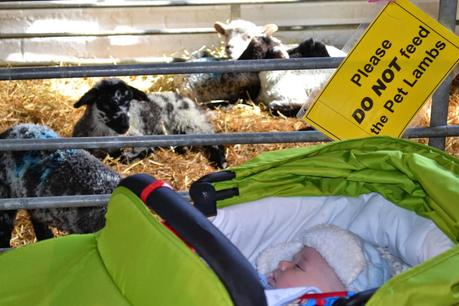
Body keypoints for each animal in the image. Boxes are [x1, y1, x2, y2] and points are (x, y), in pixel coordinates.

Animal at [72, 77, 228, 169]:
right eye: (105, 103)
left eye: (129, 101)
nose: (124, 126)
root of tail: (184, 98)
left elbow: (129, 156)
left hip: (192, 122)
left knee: (215, 141)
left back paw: (221, 163)